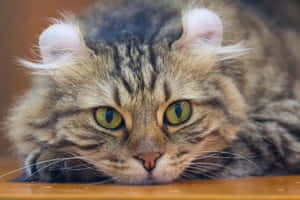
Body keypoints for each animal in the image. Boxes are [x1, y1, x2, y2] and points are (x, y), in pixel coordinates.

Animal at [5, 0, 300, 184]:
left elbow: (233, 143)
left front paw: (52, 161)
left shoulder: (285, 117)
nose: (149, 160)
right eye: (108, 118)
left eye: (178, 112)